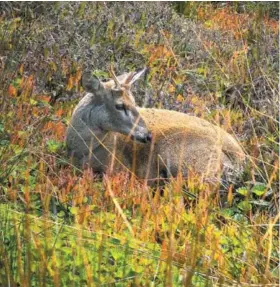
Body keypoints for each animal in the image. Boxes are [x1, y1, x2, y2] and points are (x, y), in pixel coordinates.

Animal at [66, 68, 245, 184]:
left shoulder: (118, 167)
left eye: (135, 102)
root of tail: (240, 155)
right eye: (120, 105)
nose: (147, 135)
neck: (82, 149)